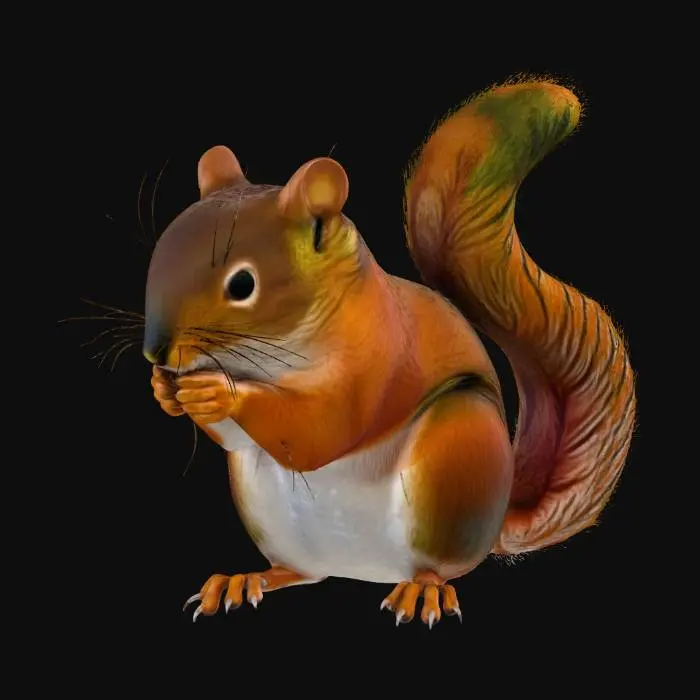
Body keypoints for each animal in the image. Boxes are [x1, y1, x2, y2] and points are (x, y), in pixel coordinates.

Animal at [145, 79, 636, 627]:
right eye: (160, 254)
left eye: (243, 284)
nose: (157, 353)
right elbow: (236, 440)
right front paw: (165, 390)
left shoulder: (375, 362)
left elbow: (319, 432)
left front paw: (217, 392)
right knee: (299, 571)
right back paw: (243, 580)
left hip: (456, 449)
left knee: (440, 565)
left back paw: (422, 590)